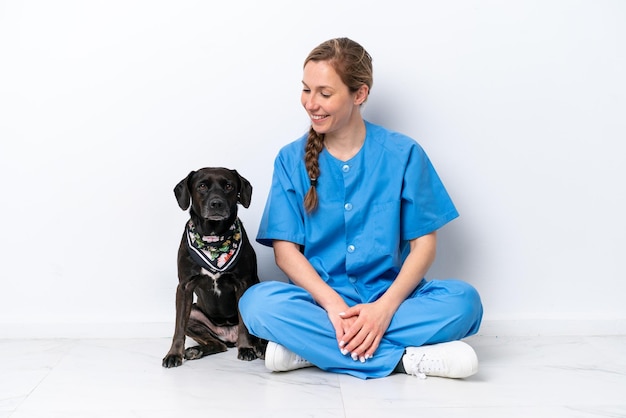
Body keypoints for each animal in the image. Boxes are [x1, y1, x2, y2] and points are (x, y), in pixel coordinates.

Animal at [161, 168, 266, 368]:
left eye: (229, 186)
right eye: (202, 186)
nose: (216, 203)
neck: (213, 239)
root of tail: (229, 337)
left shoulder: (242, 284)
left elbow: (243, 324)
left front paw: (246, 348)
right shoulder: (184, 287)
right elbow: (178, 327)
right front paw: (173, 354)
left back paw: (259, 348)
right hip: (194, 315)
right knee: (217, 344)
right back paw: (196, 350)